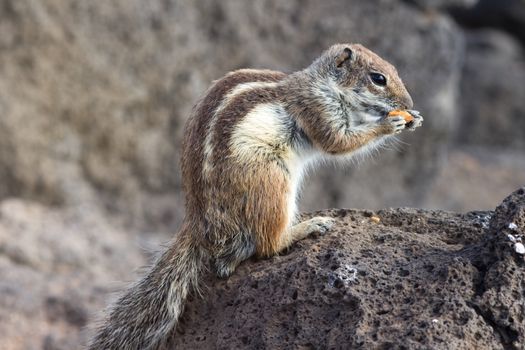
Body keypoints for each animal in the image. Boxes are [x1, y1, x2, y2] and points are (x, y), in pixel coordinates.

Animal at [89, 42, 422, 348]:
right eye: (378, 78)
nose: (408, 102)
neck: (324, 84)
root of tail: (199, 223)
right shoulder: (317, 109)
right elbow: (339, 141)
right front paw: (390, 122)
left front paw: (413, 118)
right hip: (272, 183)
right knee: (267, 244)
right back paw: (308, 226)